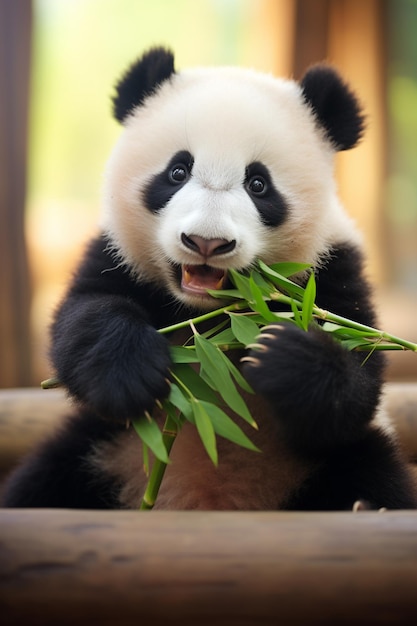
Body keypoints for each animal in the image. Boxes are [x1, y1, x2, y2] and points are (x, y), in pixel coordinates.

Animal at [2, 47, 412, 508]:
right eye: (178, 172)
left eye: (258, 184)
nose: (206, 242)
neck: (209, 318)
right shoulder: (115, 256)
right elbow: (81, 320)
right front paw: (130, 369)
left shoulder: (329, 271)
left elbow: (359, 377)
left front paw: (282, 354)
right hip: (103, 448)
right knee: (43, 481)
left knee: (369, 469)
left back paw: (365, 506)